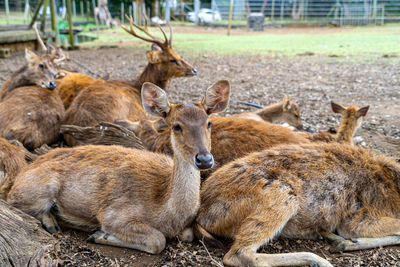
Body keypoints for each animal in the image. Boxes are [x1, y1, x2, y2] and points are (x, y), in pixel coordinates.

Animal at [7, 80, 230, 254]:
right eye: (176, 126)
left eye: (209, 123)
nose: (204, 159)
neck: (166, 212)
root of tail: (22, 173)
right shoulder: (114, 214)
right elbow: (158, 240)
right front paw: (100, 235)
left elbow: (186, 235)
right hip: (39, 189)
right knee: (15, 203)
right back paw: (56, 223)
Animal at [195, 144, 400, 267]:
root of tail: (203, 214)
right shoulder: (357, 217)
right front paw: (345, 242)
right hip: (282, 197)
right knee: (239, 254)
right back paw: (319, 260)